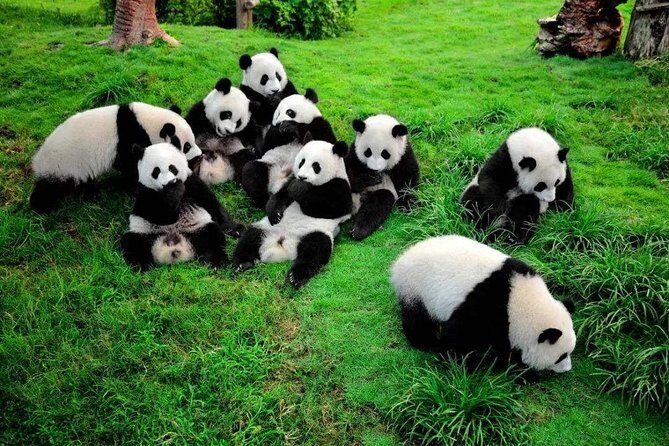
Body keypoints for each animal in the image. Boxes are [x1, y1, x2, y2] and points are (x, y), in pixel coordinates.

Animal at [30, 102, 202, 213]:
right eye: (186, 146)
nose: (199, 156)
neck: (147, 122)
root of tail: (38, 160)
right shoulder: (129, 136)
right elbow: (131, 164)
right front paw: (129, 184)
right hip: (64, 164)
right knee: (50, 187)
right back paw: (41, 206)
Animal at [121, 143, 227, 271]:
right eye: (155, 172)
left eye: (172, 168)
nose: (168, 183)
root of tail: (175, 246)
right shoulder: (144, 192)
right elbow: (162, 215)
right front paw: (174, 191)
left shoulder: (191, 181)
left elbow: (209, 201)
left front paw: (235, 229)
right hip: (144, 232)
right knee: (133, 243)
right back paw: (141, 266)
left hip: (197, 228)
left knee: (212, 236)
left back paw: (216, 262)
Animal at [232, 139, 352, 288]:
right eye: (301, 162)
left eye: (316, 166)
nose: (302, 177)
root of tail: (283, 245)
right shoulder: (290, 179)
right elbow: (281, 195)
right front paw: (275, 213)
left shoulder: (341, 187)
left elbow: (328, 208)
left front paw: (298, 189)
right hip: (266, 227)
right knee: (250, 238)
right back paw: (242, 263)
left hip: (315, 233)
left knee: (314, 251)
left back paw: (296, 277)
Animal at [390, 235, 576, 374]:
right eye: (561, 356)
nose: (567, 369)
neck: (518, 300)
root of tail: (400, 262)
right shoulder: (486, 306)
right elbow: (457, 336)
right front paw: (460, 364)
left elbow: (504, 345)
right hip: (416, 287)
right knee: (417, 319)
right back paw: (425, 342)